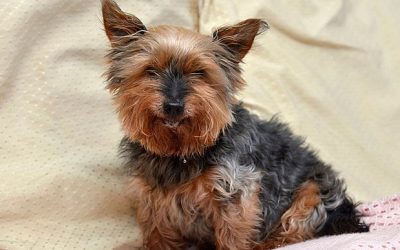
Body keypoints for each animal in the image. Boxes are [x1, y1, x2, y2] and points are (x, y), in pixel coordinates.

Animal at [101, 0, 368, 249]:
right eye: (151, 71)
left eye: (199, 73)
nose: (174, 106)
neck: (180, 151)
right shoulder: (153, 201)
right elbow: (158, 236)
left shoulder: (236, 192)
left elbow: (233, 234)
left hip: (314, 192)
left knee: (294, 230)